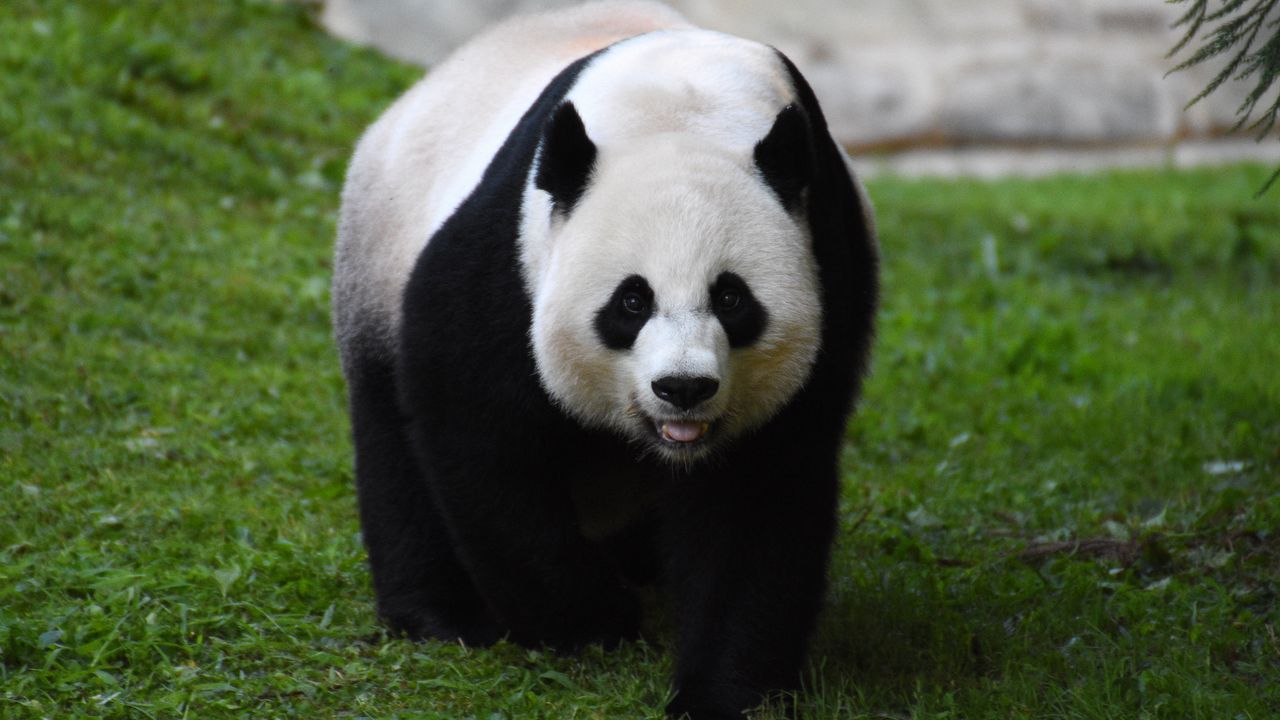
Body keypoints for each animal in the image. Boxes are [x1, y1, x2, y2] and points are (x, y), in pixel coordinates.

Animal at [335, 2, 880, 712]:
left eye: (732, 298)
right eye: (631, 302)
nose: (684, 388)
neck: (685, 108)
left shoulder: (828, 262)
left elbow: (759, 491)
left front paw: (722, 692)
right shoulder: (509, 262)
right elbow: (482, 439)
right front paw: (593, 622)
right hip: (381, 253)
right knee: (391, 445)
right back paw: (442, 616)